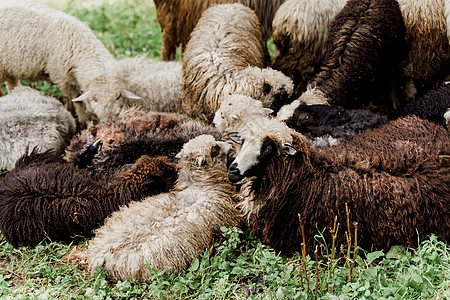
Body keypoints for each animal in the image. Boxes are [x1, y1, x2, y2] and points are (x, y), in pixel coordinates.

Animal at [0, 0, 140, 125]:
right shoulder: (62, 77)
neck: (79, 44)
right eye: (94, 98)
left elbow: (72, 99)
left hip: (10, 67)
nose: (108, 121)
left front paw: (71, 112)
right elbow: (76, 100)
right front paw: (82, 120)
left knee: (12, 84)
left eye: (118, 97)